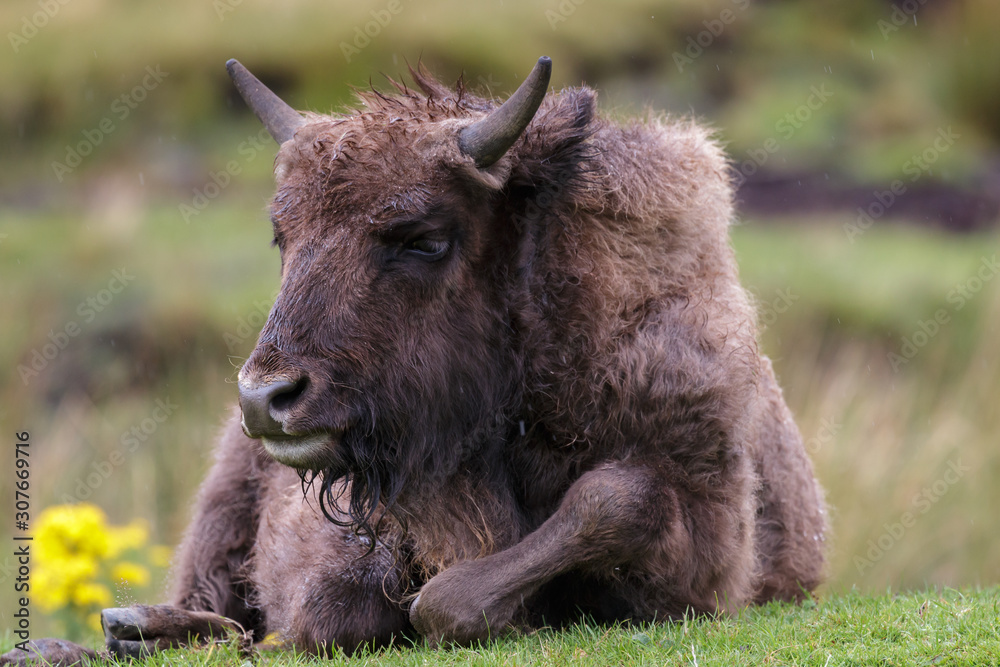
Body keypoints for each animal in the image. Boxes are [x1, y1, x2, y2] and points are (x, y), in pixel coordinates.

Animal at [3, 56, 824, 664]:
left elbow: (604, 503)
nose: (267, 397)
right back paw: (103, 631)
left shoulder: (707, 547)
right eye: (282, 234)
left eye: (423, 238)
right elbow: (340, 602)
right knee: (213, 604)